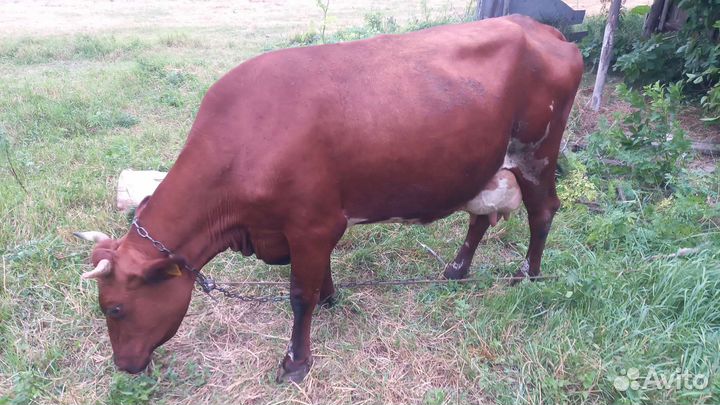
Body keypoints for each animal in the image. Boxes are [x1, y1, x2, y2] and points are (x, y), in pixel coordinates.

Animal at [74, 15, 583, 383]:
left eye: (114, 308)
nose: (125, 366)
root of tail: (539, 26)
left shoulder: (311, 223)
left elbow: (299, 295)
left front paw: (296, 362)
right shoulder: (310, 223)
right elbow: (319, 276)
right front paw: (330, 298)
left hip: (537, 152)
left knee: (543, 211)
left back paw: (528, 275)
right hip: (485, 163)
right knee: (479, 216)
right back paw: (457, 271)